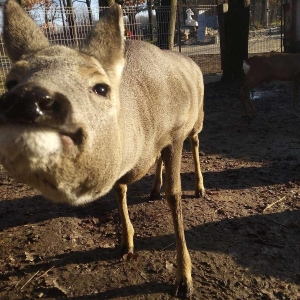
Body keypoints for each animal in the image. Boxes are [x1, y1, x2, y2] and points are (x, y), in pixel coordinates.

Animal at [0, 0, 205, 298]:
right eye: (10, 82)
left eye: (101, 87)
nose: (28, 100)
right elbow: (120, 190)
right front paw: (126, 243)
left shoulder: (174, 134)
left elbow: (174, 196)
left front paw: (184, 278)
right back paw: (154, 188)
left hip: (197, 119)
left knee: (196, 143)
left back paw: (200, 187)